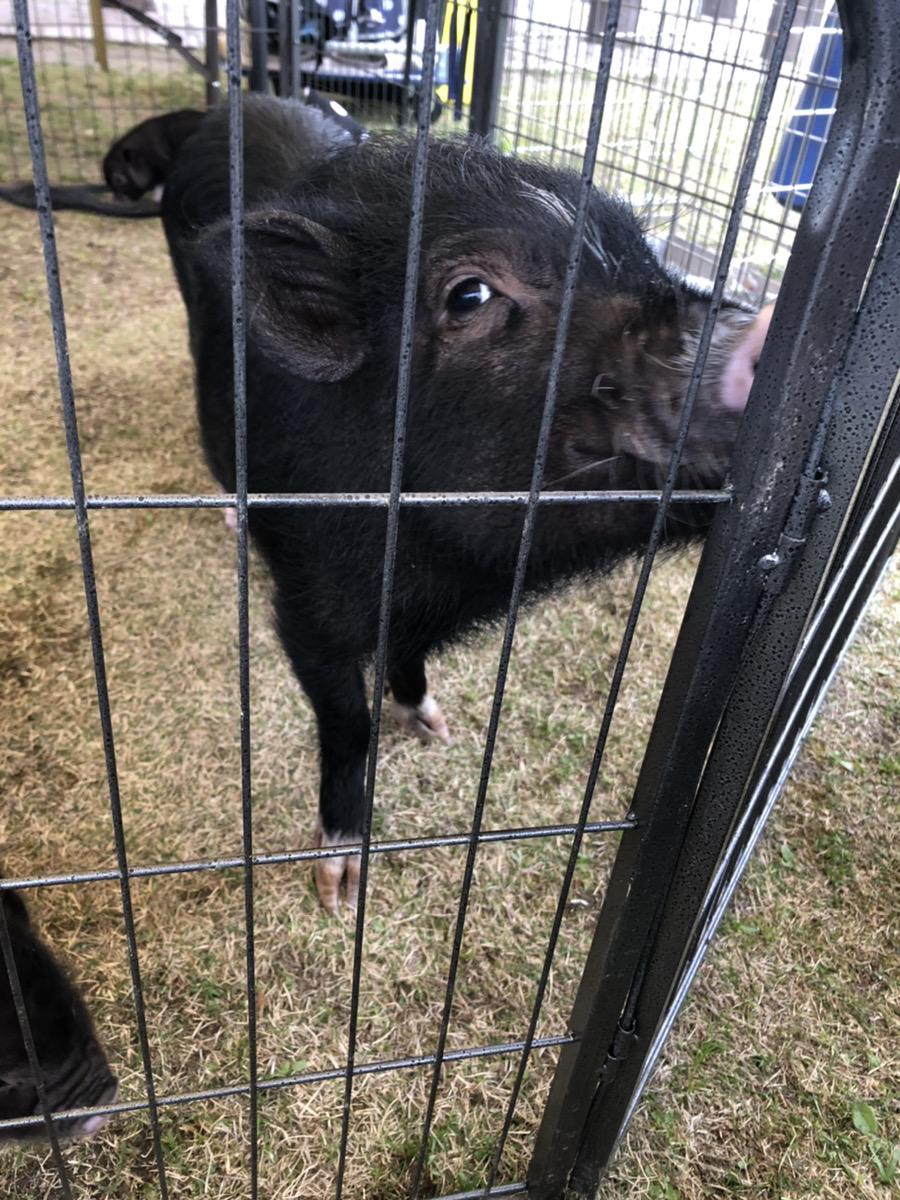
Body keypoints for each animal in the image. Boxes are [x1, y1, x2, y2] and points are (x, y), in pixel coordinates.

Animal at [160, 98, 768, 912]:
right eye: (470, 295)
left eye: (643, 257)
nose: (755, 329)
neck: (446, 573)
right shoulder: (305, 608)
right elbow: (347, 720)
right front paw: (340, 889)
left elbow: (407, 656)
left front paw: (436, 726)